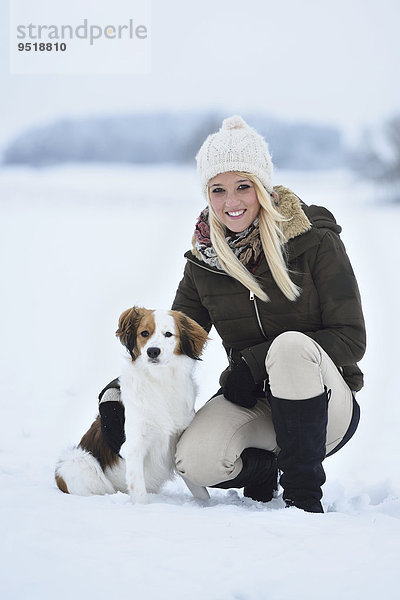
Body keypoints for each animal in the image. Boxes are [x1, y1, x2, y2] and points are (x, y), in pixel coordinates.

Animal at [55, 308, 209, 504]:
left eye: (168, 334)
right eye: (144, 333)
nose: (153, 351)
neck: (160, 381)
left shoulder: (178, 443)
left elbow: (200, 490)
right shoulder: (134, 447)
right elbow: (139, 492)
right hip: (77, 461)